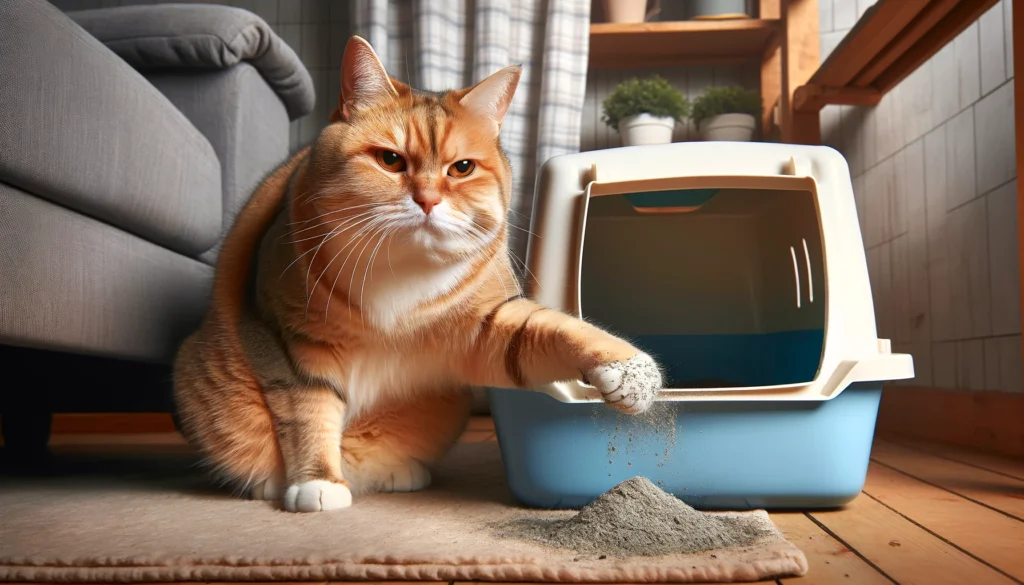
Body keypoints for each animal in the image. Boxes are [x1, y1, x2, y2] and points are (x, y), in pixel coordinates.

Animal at [172, 37, 659, 512]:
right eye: (390, 160)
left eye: (462, 168)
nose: (427, 200)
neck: (402, 266)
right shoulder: (291, 340)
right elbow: (308, 410)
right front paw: (318, 481)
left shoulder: (486, 324)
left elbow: (553, 329)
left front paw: (629, 372)